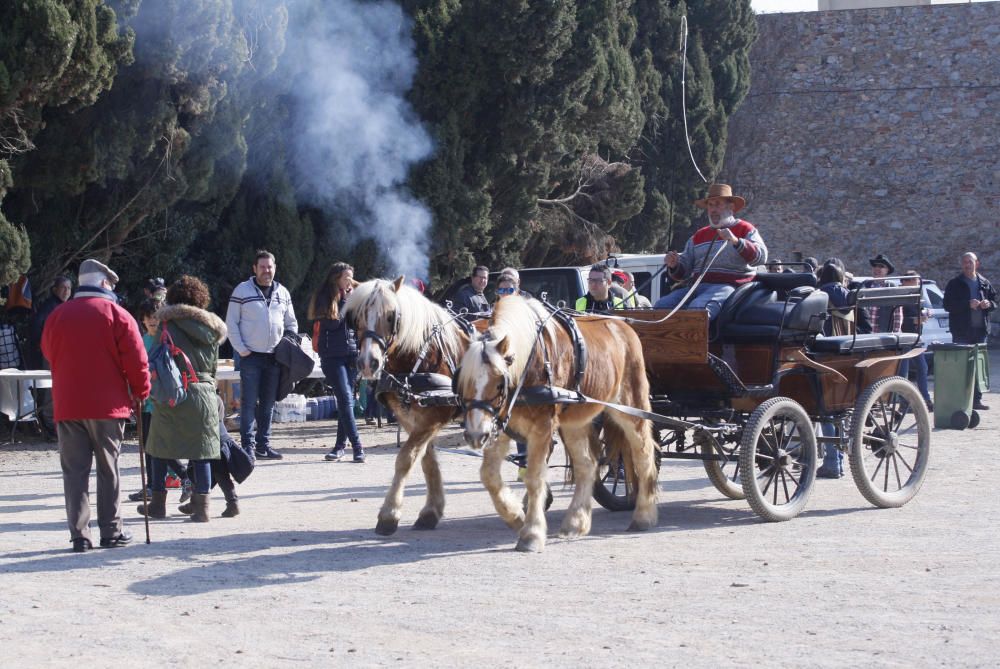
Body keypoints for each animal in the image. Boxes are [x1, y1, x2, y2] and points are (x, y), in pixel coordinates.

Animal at [346, 276, 494, 532]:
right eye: (358, 317)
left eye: (391, 316)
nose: (367, 363)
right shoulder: (410, 418)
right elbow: (427, 460)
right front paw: (431, 511)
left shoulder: (434, 416)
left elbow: (405, 458)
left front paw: (389, 514)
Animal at [458, 294, 660, 552]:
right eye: (464, 381)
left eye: (498, 382)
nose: (475, 435)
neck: (530, 365)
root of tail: (623, 326)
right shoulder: (499, 424)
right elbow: (489, 475)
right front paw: (515, 516)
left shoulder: (542, 427)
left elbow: (534, 477)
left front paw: (532, 534)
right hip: (575, 423)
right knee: (587, 465)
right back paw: (576, 522)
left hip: (631, 408)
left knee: (643, 457)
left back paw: (644, 515)